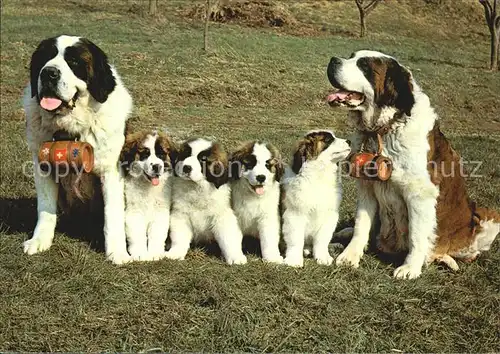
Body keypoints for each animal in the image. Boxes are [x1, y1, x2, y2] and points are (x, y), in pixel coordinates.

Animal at [23, 34, 133, 264]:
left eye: (73, 62)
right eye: (45, 58)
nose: (49, 73)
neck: (69, 130)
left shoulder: (111, 171)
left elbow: (113, 214)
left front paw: (117, 252)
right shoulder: (43, 166)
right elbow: (45, 207)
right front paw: (40, 240)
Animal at [120, 131, 177, 262]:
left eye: (161, 154)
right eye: (145, 154)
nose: (156, 166)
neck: (148, 186)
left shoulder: (160, 212)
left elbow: (157, 234)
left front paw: (155, 253)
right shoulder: (134, 213)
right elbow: (137, 234)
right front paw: (140, 253)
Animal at [282, 131, 352, 266]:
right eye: (328, 140)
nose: (349, 141)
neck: (319, 176)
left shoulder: (330, 215)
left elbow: (323, 238)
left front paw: (323, 256)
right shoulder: (294, 215)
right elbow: (295, 239)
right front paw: (294, 260)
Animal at [326, 49, 498, 278]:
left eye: (364, 66)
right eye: (351, 56)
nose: (332, 60)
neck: (385, 129)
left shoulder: (419, 196)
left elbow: (417, 235)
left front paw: (410, 268)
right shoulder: (367, 188)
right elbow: (362, 224)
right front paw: (350, 256)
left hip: (489, 216)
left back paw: (442, 258)